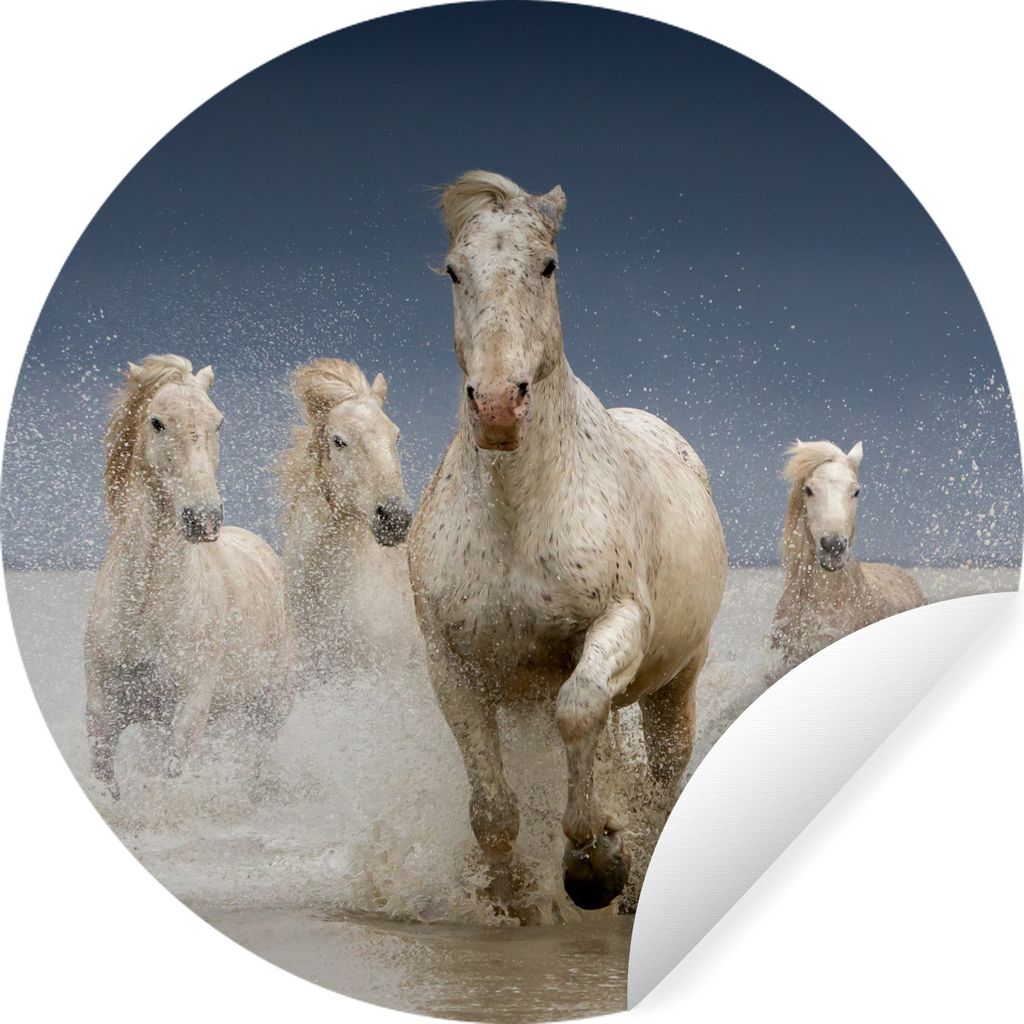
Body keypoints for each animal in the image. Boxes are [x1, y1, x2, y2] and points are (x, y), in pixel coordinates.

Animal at [84, 354, 295, 799]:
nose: (204, 518)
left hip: (269, 709)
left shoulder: (189, 712)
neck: (145, 606)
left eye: (218, 422)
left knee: (255, 761)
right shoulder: (104, 715)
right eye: (157, 422)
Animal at [408, 171, 728, 915]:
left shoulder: (616, 623)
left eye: (547, 266)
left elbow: (580, 713)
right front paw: (508, 897)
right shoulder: (453, 664)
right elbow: (493, 809)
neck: (518, 514)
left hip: (679, 677)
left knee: (663, 769)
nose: (499, 406)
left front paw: (595, 866)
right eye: (455, 272)